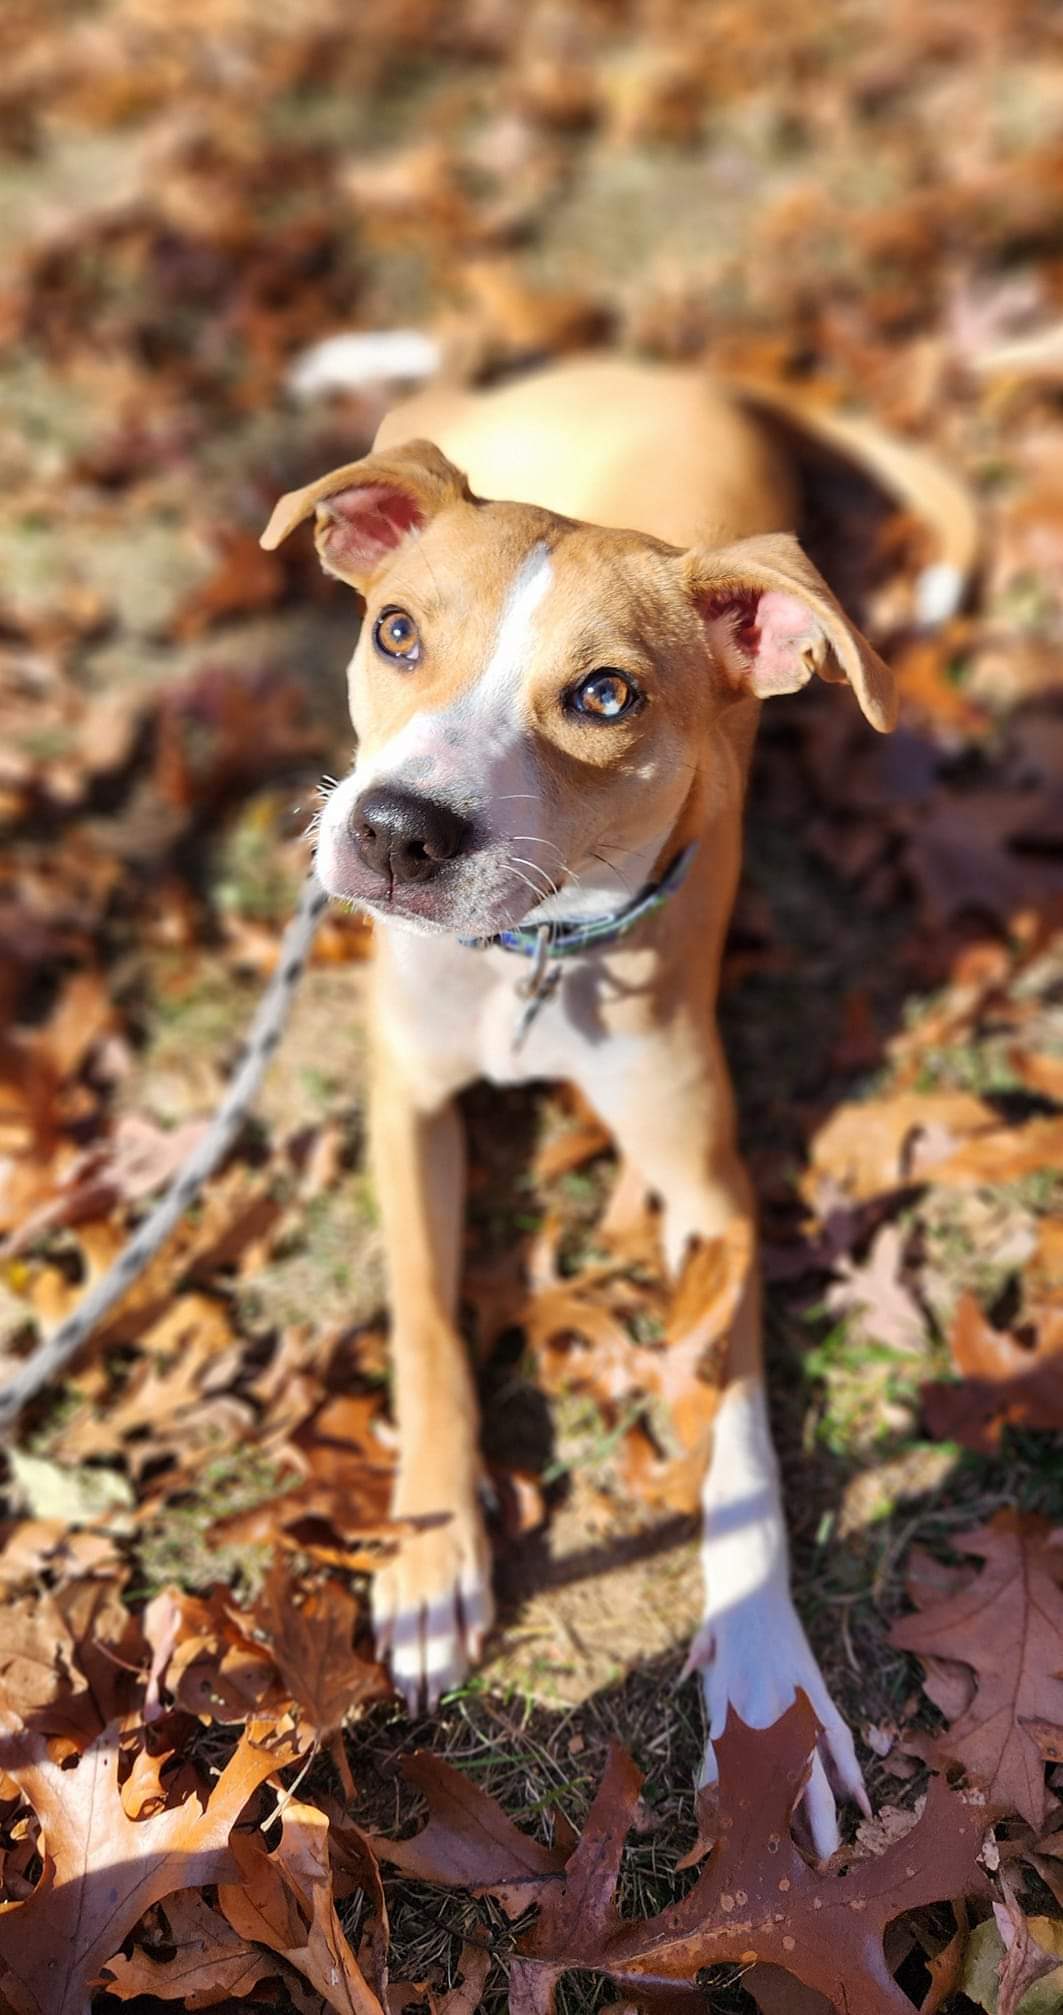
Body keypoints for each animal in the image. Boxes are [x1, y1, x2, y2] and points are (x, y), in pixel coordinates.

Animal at [259, 354, 897, 1845]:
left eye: (605, 696)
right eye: (394, 632)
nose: (392, 830)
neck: (537, 957)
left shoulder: (712, 1191)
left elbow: (736, 1441)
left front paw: (768, 1687)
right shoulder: (404, 1097)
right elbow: (427, 1318)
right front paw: (434, 1546)